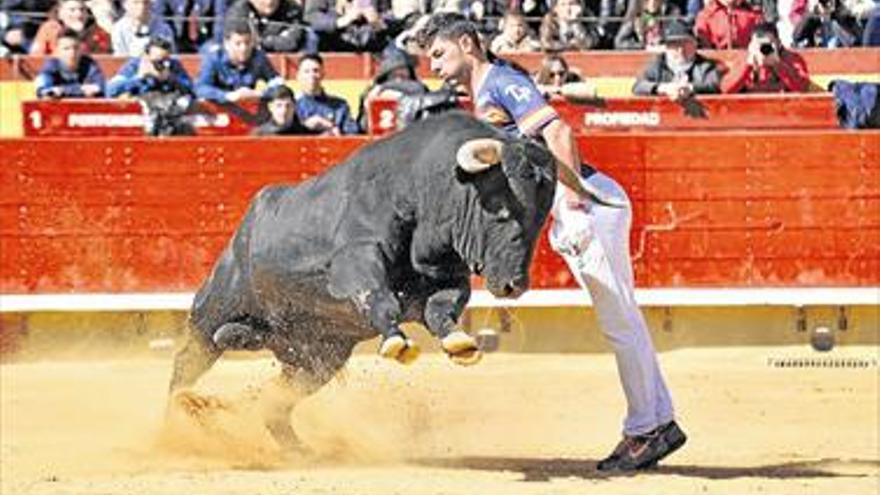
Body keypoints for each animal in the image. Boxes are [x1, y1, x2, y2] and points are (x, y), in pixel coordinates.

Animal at [170, 112, 556, 450]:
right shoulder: (356, 260)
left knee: (275, 401)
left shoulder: (445, 278)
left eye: (540, 220)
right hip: (214, 309)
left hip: (318, 359)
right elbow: (379, 298)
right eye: (502, 212)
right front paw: (397, 343)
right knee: (188, 361)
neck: (421, 188)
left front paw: (460, 343)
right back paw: (173, 420)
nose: (513, 285)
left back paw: (297, 449)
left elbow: (442, 309)